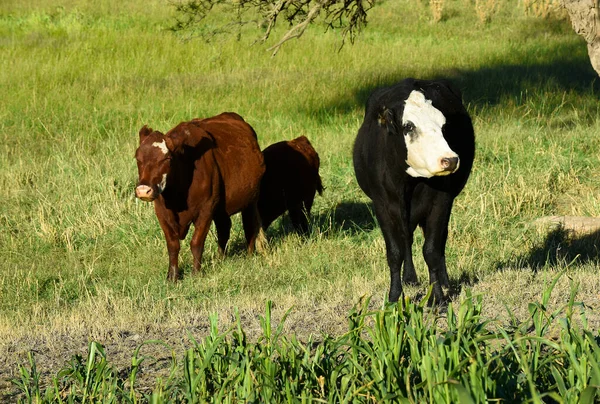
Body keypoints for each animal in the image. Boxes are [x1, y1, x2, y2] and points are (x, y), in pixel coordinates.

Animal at [136, 111, 268, 280]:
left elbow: (196, 243)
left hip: (251, 199)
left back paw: (249, 256)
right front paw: (172, 276)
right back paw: (220, 259)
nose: (143, 190)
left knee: (250, 227)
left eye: (167, 158)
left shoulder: (206, 209)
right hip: (221, 209)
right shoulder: (162, 212)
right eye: (138, 158)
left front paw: (196, 274)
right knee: (224, 228)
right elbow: (172, 245)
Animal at [352, 78, 474, 304]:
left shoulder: (441, 201)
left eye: (443, 125)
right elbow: (395, 252)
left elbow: (432, 250)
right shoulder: (382, 205)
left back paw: (444, 282)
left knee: (439, 240)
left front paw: (438, 298)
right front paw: (394, 296)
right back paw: (409, 278)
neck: (407, 182)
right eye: (408, 126)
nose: (450, 159)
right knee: (406, 238)